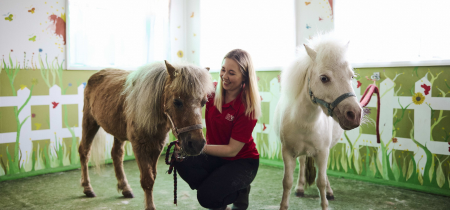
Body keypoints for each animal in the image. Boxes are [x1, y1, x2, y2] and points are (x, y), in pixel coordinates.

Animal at [78, 60, 214, 210]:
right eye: (177, 102)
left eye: (204, 102)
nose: (197, 144)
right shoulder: (139, 146)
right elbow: (147, 180)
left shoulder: (157, 146)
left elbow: (152, 176)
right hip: (89, 122)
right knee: (84, 152)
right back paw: (87, 188)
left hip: (118, 132)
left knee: (116, 155)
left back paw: (125, 188)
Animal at [274, 32, 362, 209]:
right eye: (324, 78)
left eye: (351, 76)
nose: (355, 114)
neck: (306, 122)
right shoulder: (287, 152)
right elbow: (287, 182)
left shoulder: (322, 152)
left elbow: (320, 181)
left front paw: (326, 199)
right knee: (302, 162)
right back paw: (300, 188)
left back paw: (329, 191)